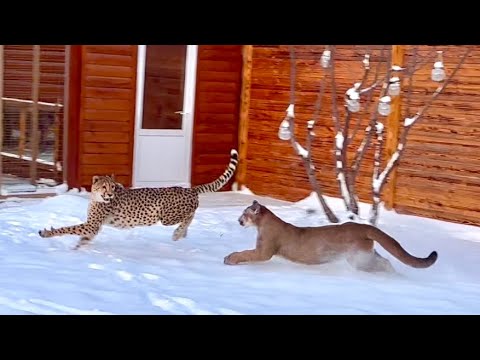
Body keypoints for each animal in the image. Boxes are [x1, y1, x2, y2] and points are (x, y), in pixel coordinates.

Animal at [38, 148, 239, 248]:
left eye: (112, 187)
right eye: (104, 186)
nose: (110, 194)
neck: (98, 197)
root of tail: (189, 189)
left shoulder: (92, 225)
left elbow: (67, 228)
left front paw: (47, 233)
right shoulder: (93, 228)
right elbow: (83, 238)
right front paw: (78, 248)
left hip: (166, 217)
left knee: (189, 216)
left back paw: (178, 233)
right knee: (190, 217)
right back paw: (182, 234)